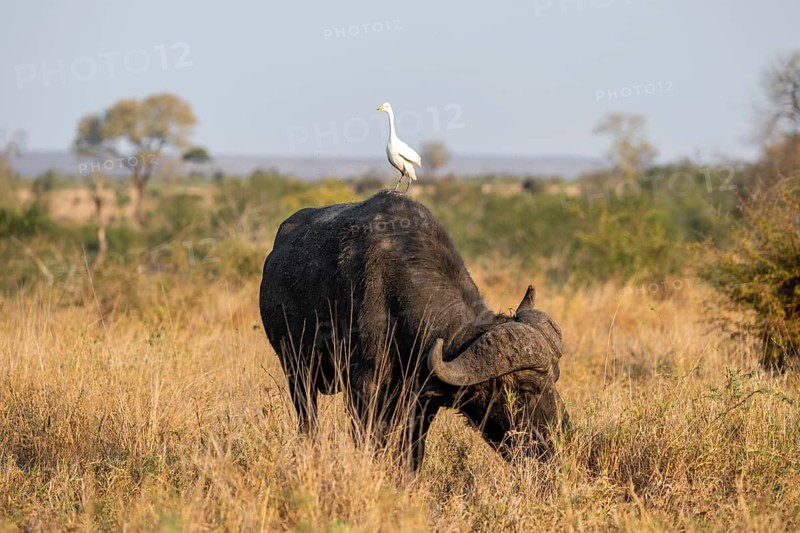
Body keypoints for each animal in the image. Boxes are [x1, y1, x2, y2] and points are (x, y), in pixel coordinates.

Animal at [259, 191, 568, 470]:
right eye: (526, 388)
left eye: (555, 377)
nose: (558, 442)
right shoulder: (364, 391)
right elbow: (371, 445)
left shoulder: (422, 403)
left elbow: (412, 455)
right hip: (297, 370)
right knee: (308, 422)